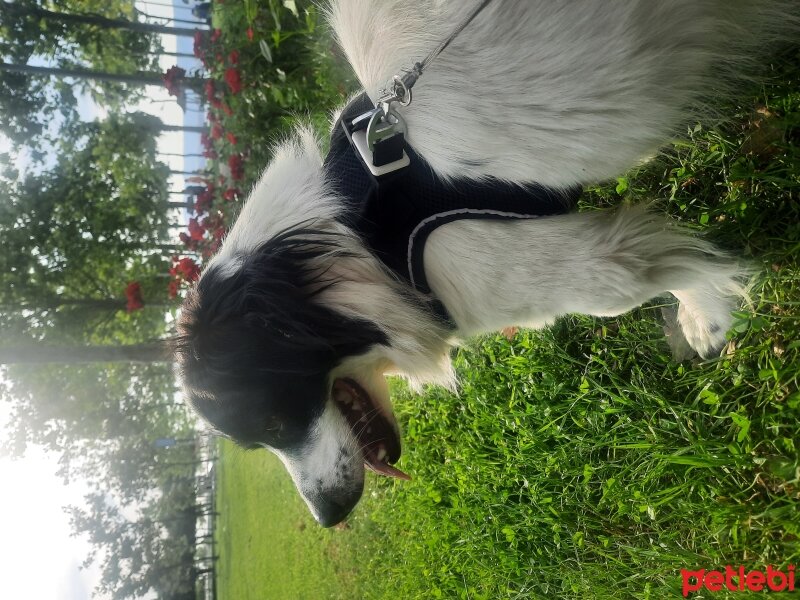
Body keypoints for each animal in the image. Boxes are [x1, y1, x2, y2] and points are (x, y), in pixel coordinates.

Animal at [175, 0, 792, 524]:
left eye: (275, 421)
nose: (330, 518)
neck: (359, 235)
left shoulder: (579, 269)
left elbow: (652, 278)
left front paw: (706, 316)